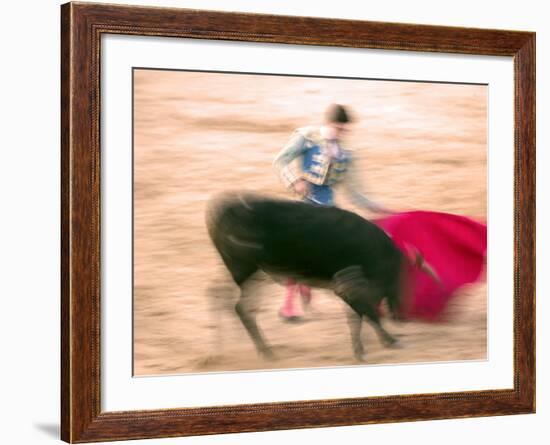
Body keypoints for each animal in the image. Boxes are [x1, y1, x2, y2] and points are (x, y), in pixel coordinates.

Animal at [207, 194, 406, 360]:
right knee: (236, 305)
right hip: (246, 271)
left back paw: (228, 349)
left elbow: (360, 314)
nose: (398, 315)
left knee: (222, 296)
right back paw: (259, 351)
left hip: (251, 274)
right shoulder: (346, 286)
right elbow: (366, 312)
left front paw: (367, 346)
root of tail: (224, 211)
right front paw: (380, 344)